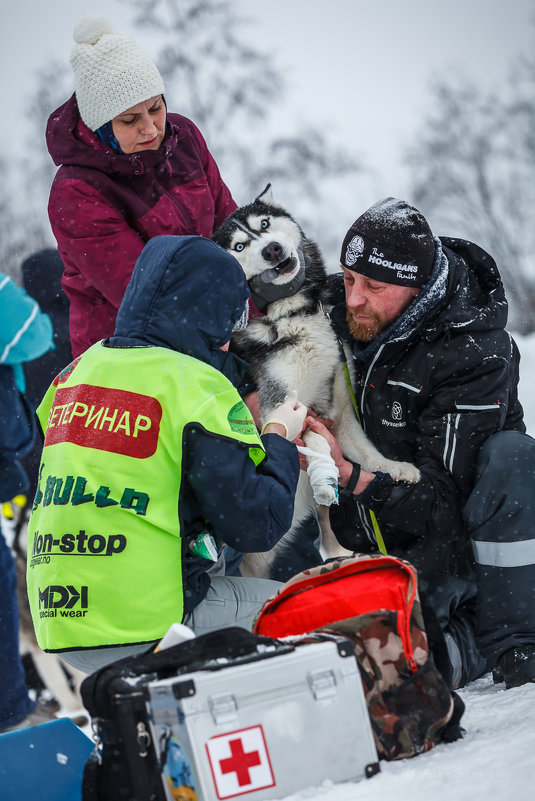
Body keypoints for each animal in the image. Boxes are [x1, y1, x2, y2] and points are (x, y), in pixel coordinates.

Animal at [213, 184, 418, 580]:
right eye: (239, 247)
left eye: (264, 224)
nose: (272, 250)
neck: (295, 314)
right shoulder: (285, 403)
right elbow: (312, 440)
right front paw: (325, 476)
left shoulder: (340, 404)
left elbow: (365, 450)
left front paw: (394, 467)